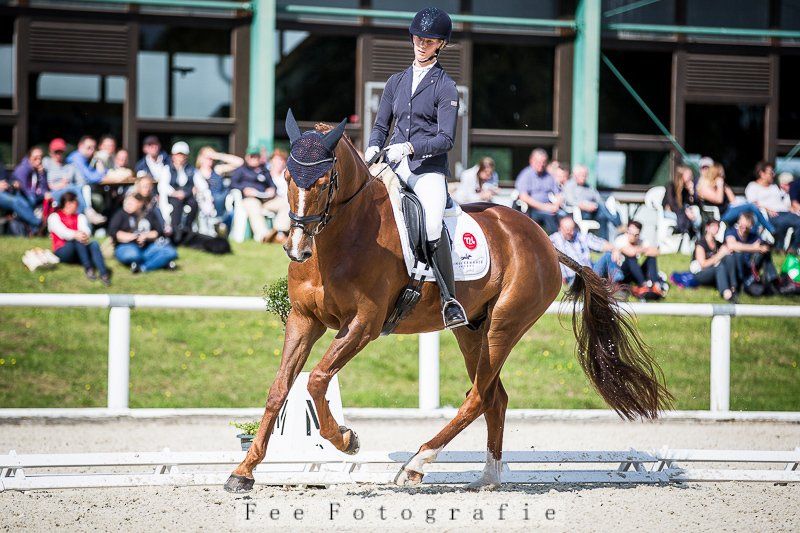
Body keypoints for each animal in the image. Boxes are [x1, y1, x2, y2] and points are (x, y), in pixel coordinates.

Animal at [224, 117, 673, 493]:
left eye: (323, 180)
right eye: (286, 176)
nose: (297, 248)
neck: (345, 235)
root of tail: (545, 241)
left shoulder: (364, 324)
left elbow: (317, 379)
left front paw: (346, 440)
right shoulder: (303, 319)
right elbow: (279, 389)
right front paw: (243, 472)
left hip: (504, 325)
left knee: (478, 397)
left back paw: (417, 464)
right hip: (471, 330)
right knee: (494, 397)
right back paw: (487, 478)